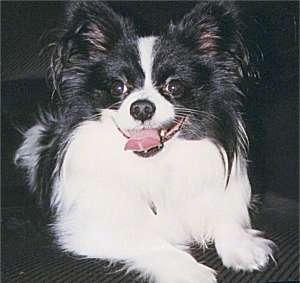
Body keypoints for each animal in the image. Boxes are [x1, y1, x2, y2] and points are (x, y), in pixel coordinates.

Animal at [15, 2, 274, 283]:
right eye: (118, 88)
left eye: (174, 87)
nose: (141, 107)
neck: (155, 164)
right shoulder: (89, 228)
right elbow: (151, 241)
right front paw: (190, 270)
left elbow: (227, 218)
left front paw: (243, 246)